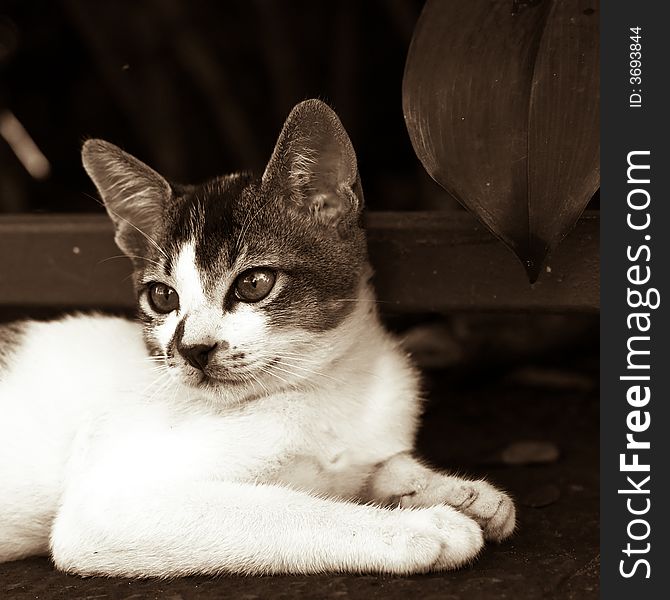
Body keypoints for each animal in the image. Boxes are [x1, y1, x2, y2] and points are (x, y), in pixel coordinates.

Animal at [0, 99, 516, 576]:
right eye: (163, 297)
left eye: (253, 283)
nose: (192, 349)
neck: (324, 391)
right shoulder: (107, 505)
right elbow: (284, 508)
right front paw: (422, 526)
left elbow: (380, 465)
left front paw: (459, 491)